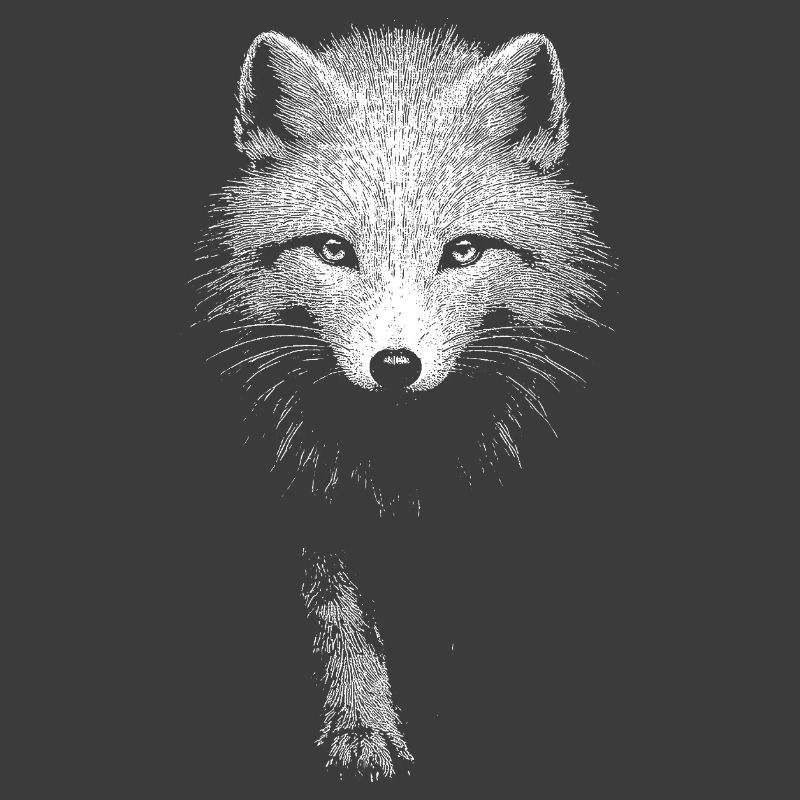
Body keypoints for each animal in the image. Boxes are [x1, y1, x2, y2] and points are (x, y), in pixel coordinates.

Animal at [195, 27, 611, 782]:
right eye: (333, 250)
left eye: (464, 251)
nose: (395, 366)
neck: (400, 475)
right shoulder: (303, 502)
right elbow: (340, 625)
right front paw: (361, 727)